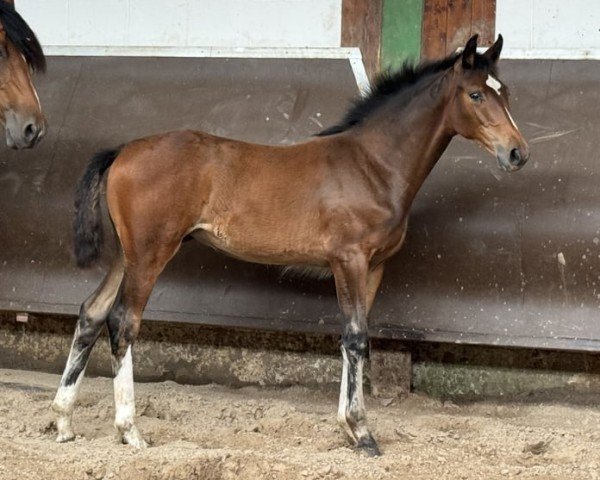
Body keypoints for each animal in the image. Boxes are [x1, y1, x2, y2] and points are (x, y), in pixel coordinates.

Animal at [52, 35, 528, 456]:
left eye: (505, 93)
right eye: (475, 94)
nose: (517, 153)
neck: (372, 165)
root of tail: (122, 150)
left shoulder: (373, 267)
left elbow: (354, 336)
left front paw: (349, 430)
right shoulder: (349, 260)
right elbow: (356, 336)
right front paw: (362, 433)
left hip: (125, 256)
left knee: (91, 313)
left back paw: (63, 422)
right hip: (151, 254)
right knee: (123, 321)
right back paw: (130, 431)